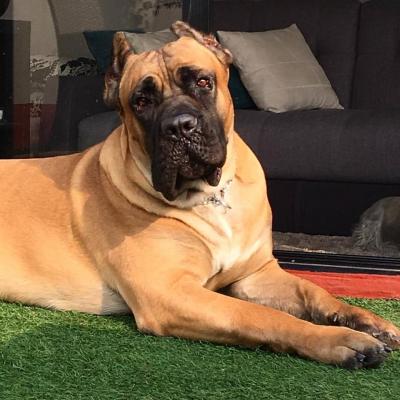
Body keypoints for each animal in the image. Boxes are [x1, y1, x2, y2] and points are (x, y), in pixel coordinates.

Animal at [0, 21, 399, 369]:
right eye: (140, 101)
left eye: (203, 82)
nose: (179, 126)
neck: (209, 195)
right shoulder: (169, 292)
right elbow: (259, 315)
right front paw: (340, 340)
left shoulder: (256, 274)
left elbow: (312, 290)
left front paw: (364, 320)